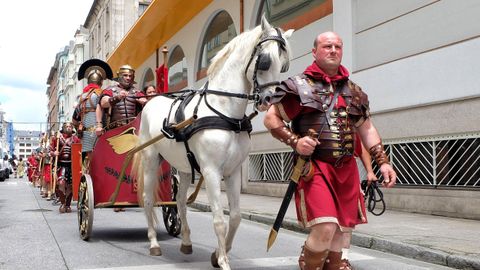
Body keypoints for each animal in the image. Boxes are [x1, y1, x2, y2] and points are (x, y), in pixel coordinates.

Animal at [134, 17, 292, 270]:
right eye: (265, 61)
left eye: (284, 64)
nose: (270, 99)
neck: (225, 112)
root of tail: (151, 100)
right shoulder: (211, 171)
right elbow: (219, 219)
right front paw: (224, 261)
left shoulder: (233, 171)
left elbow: (235, 216)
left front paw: (219, 253)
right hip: (150, 160)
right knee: (148, 199)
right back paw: (154, 243)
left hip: (184, 168)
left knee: (180, 202)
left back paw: (186, 241)